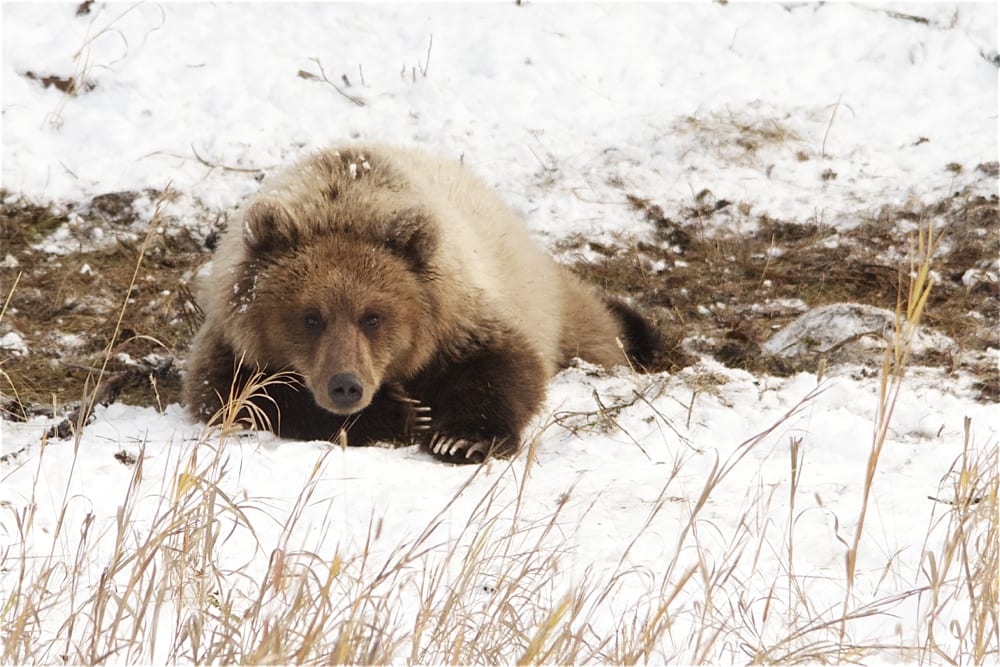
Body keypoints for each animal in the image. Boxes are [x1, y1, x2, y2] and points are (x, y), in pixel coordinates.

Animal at [184, 144, 660, 462]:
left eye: (373, 316)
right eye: (311, 317)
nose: (345, 385)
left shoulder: (460, 312)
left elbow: (504, 365)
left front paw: (461, 438)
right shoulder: (233, 338)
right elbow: (237, 393)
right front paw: (403, 413)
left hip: (543, 291)